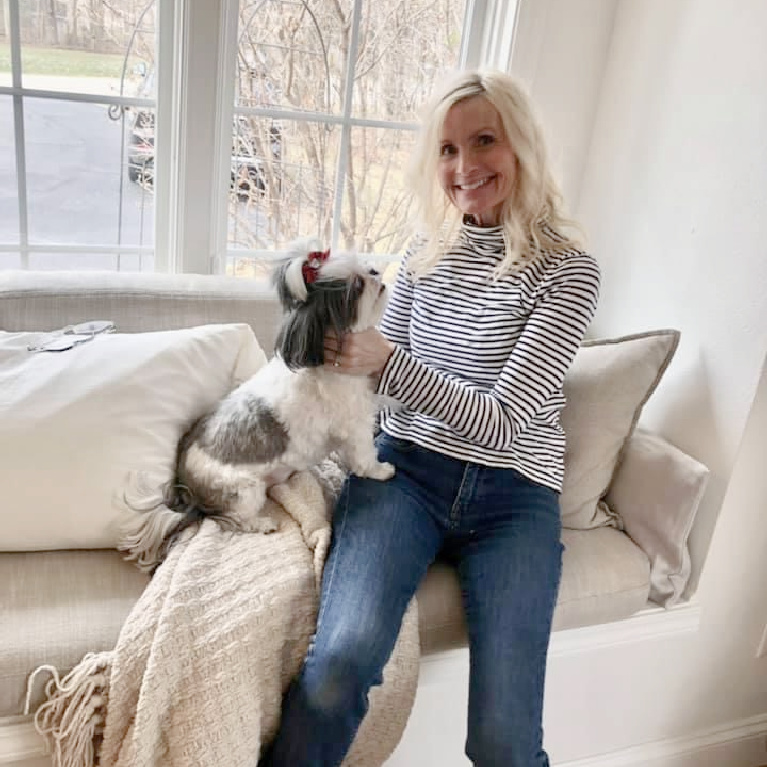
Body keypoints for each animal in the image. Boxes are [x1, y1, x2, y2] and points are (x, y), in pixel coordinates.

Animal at [121, 240, 396, 568]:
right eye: (356, 286)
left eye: (364, 265)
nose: (374, 271)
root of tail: (186, 486)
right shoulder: (354, 425)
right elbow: (365, 457)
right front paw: (381, 470)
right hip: (244, 491)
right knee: (230, 518)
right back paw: (261, 523)